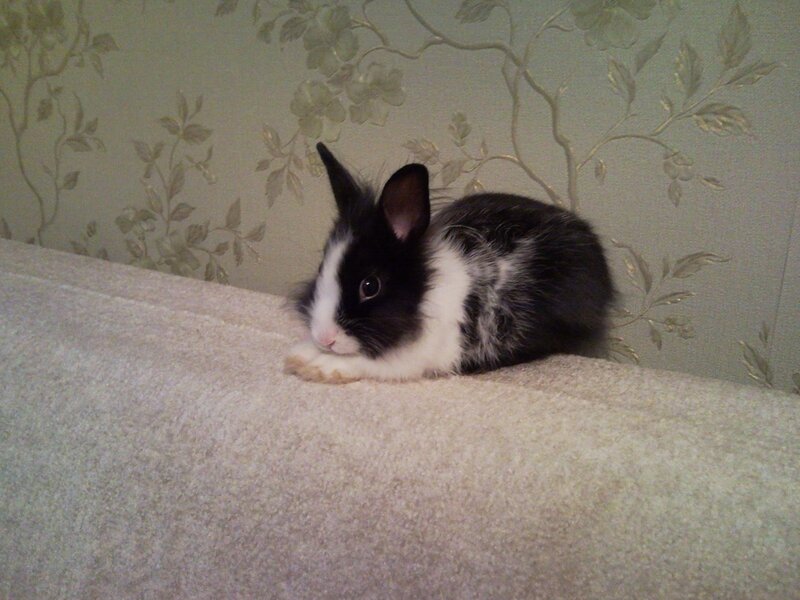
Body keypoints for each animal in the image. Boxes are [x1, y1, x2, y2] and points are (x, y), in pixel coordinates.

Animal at [285, 143, 614, 384]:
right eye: (321, 269)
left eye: (370, 286)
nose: (324, 338)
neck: (426, 292)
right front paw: (301, 353)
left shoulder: (421, 354)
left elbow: (376, 362)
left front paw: (318, 365)